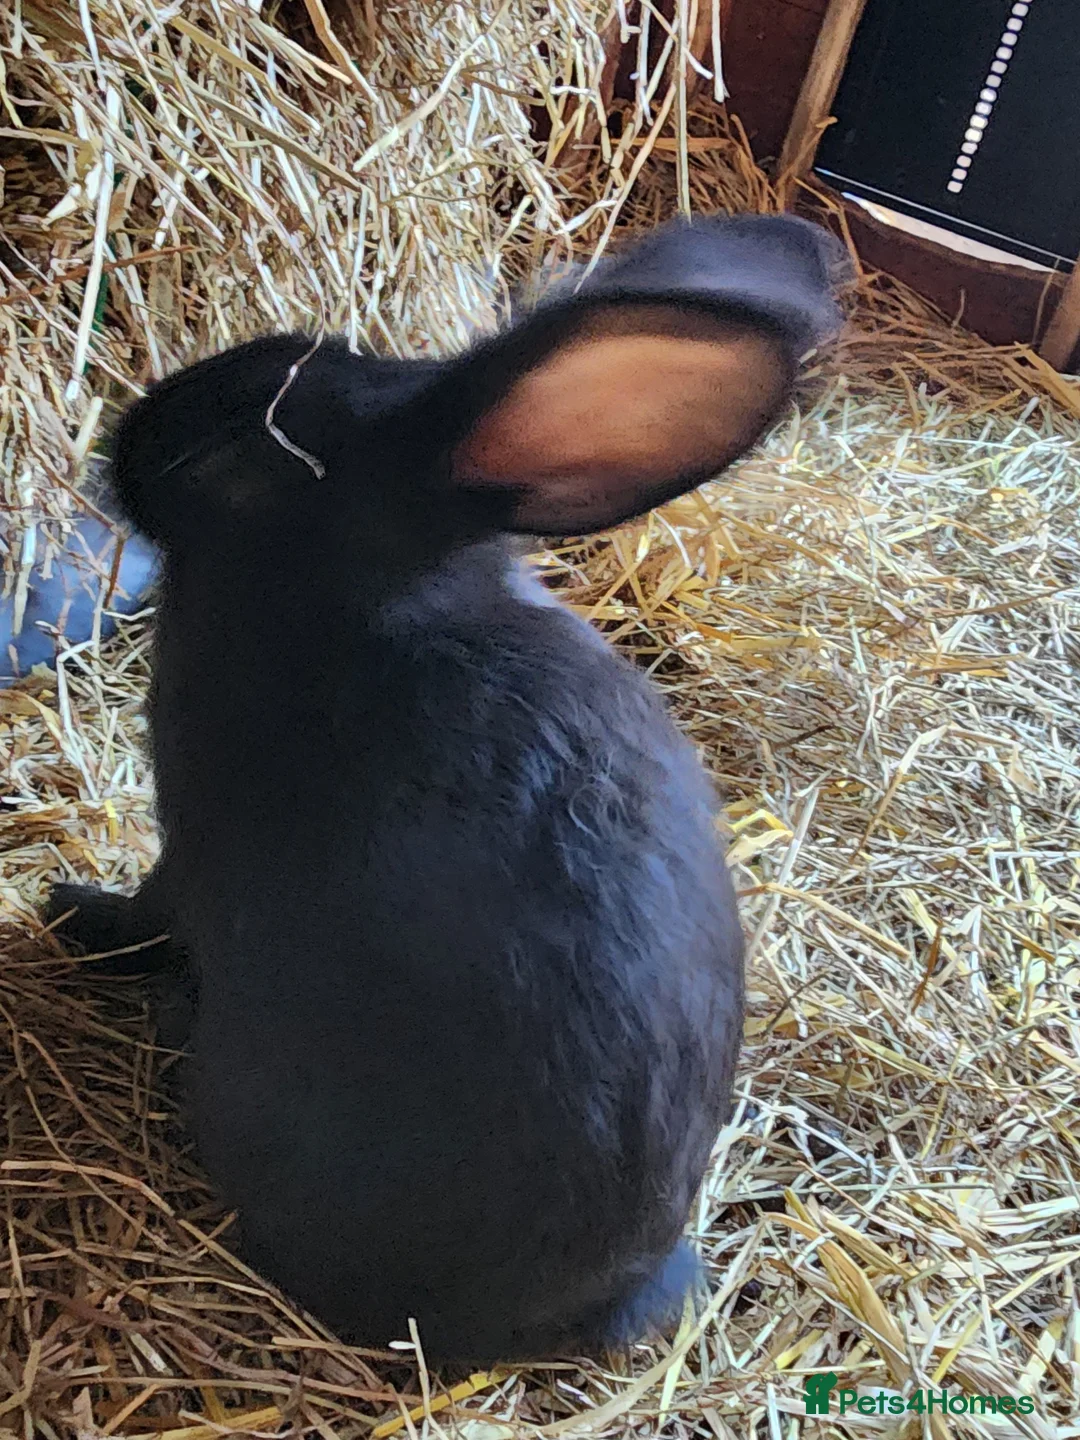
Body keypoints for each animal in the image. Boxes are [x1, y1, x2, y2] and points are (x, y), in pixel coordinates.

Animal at [45, 213, 845, 1366]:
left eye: (240, 449)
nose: (126, 439)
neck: (355, 592)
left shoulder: (186, 852)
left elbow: (145, 914)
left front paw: (63, 912)